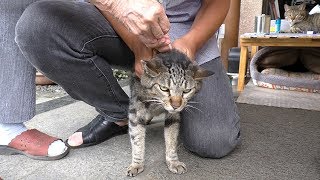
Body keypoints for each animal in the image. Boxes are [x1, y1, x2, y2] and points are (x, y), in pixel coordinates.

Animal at [126, 48, 214, 176]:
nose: (176, 106)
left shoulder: (173, 117)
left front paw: (173, 162)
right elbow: (137, 140)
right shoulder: (136, 111)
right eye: (164, 88)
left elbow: (171, 139)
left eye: (186, 91)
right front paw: (136, 164)